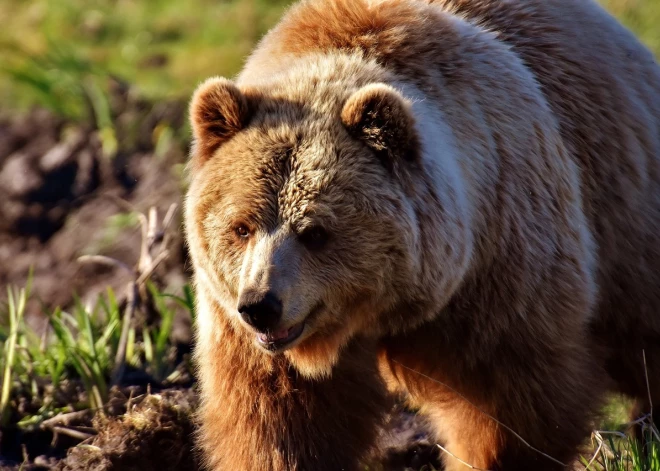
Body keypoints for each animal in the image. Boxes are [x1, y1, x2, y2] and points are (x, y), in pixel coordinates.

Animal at [184, 0, 660, 470]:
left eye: (315, 232)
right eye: (241, 227)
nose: (260, 306)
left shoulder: (500, 264)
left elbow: (510, 405)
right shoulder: (242, 329)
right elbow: (280, 421)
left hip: (623, 218)